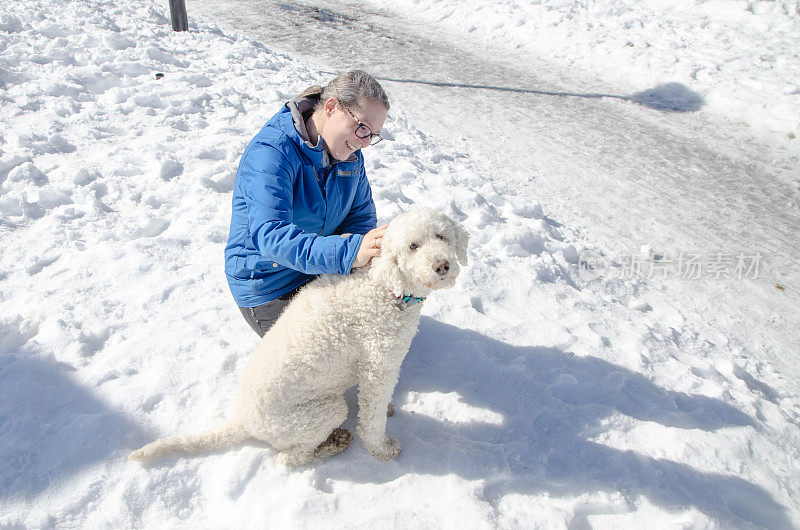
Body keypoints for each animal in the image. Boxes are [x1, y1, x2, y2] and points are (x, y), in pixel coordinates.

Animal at [130, 208, 468, 464]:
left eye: (441, 236)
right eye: (412, 246)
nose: (442, 266)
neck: (385, 285)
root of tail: (242, 421)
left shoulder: (381, 369)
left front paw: (388, 408)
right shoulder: (378, 365)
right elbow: (371, 421)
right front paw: (382, 449)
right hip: (320, 413)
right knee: (290, 458)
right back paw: (334, 444)